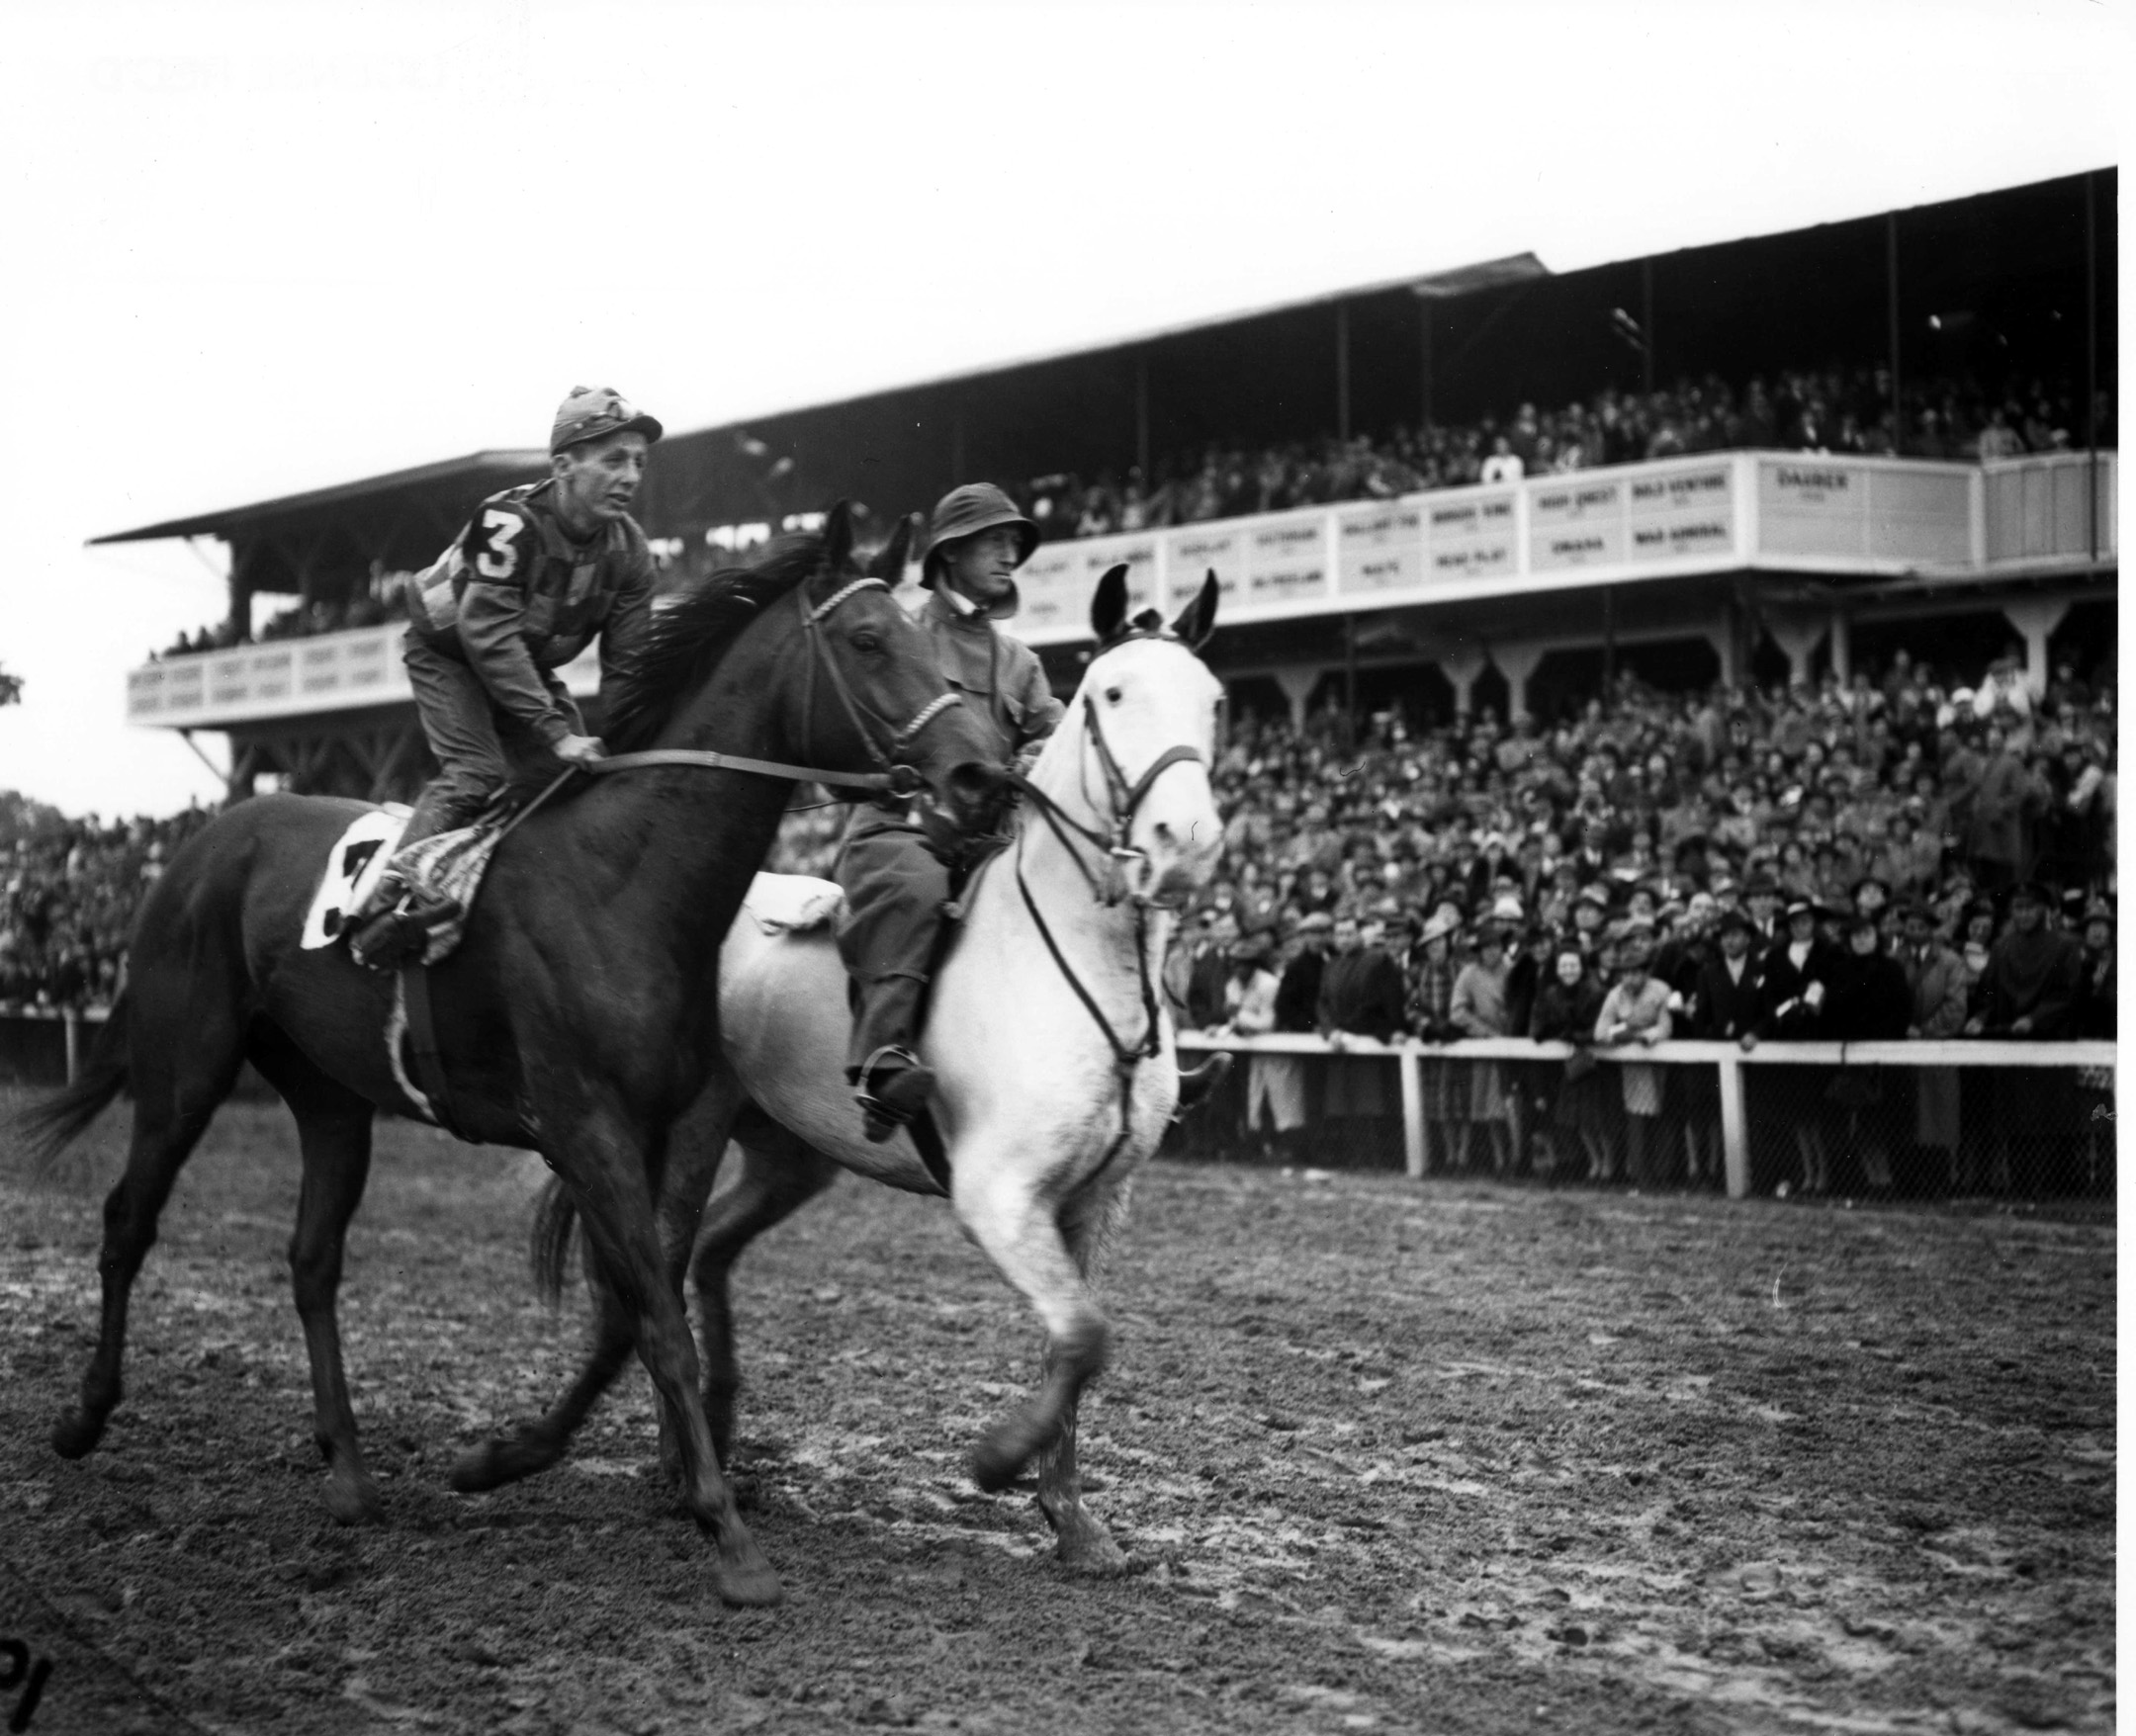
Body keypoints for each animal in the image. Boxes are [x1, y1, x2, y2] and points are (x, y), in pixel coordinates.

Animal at [463, 564, 1238, 1571]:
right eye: (1110, 692)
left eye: (1213, 699)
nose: (1186, 840)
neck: (1075, 961)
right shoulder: (999, 1197)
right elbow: (1081, 1337)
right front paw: (997, 1463)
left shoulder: (1096, 1202)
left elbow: (1077, 1348)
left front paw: (1072, 1520)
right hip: (692, 1131)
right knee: (661, 1269)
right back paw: (681, 1466)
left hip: (791, 1153)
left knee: (708, 1255)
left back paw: (718, 1433)